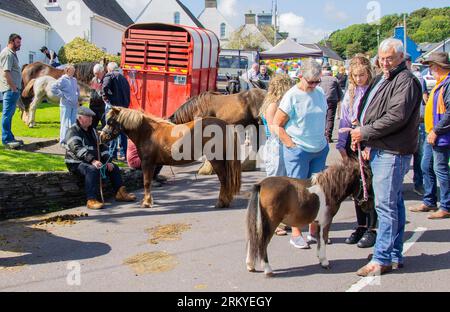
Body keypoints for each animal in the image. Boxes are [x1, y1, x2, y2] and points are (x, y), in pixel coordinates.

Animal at [100, 107, 243, 210]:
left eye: (111, 122)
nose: (102, 137)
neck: (148, 132)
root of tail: (224, 125)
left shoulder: (147, 163)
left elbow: (146, 182)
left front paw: (146, 203)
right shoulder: (152, 164)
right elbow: (149, 181)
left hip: (216, 160)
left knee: (223, 180)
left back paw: (221, 203)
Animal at [244, 160, 374, 276]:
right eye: (367, 183)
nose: (369, 207)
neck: (329, 190)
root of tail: (261, 185)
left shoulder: (318, 222)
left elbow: (319, 239)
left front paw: (320, 258)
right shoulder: (326, 222)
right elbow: (323, 239)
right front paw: (324, 262)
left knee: (253, 240)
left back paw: (250, 265)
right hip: (271, 223)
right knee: (262, 242)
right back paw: (267, 269)